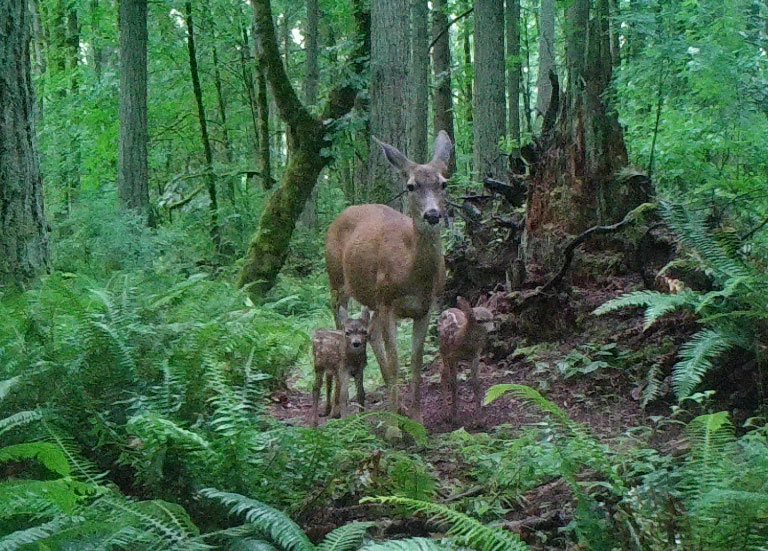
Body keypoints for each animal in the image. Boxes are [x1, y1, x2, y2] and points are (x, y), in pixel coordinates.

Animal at [322, 132, 450, 420]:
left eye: (443, 184)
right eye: (411, 185)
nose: (432, 215)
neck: (413, 271)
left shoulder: (426, 307)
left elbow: (415, 362)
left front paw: (416, 417)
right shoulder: (389, 302)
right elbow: (394, 362)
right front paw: (393, 426)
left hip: (373, 297)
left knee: (372, 333)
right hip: (336, 281)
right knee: (339, 326)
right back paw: (336, 406)